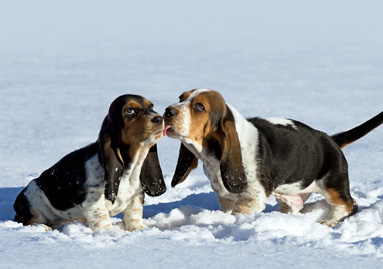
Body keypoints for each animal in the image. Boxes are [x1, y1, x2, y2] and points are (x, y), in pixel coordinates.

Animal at [13, 94, 166, 230]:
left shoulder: (136, 195)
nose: (159, 118)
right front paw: (111, 232)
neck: (130, 168)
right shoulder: (92, 199)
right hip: (32, 200)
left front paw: (139, 229)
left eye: (151, 106)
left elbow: (134, 214)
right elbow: (102, 216)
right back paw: (44, 227)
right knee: (27, 221)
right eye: (130, 110)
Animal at [163, 89, 383, 225]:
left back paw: (328, 221)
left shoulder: (252, 198)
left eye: (199, 107)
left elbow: (239, 213)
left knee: (347, 204)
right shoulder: (224, 197)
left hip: (332, 185)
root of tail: (331, 139)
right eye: (181, 97)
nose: (167, 111)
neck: (212, 156)